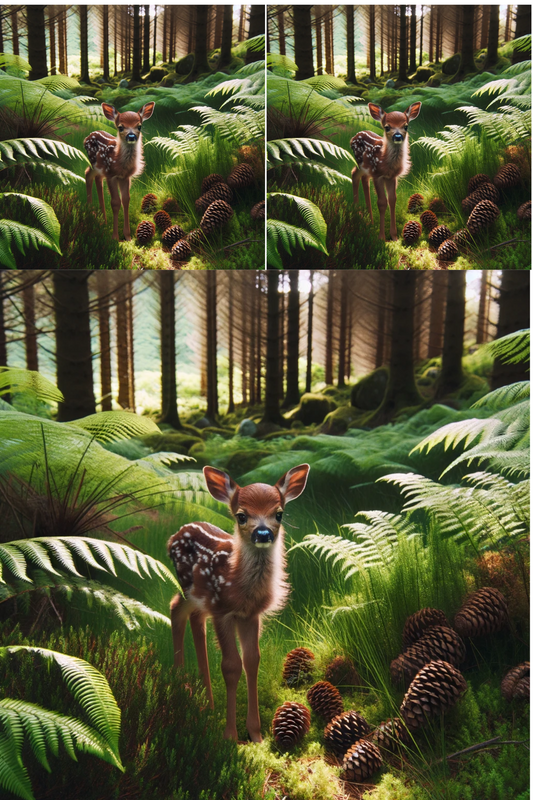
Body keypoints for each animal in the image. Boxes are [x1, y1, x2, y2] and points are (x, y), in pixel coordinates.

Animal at [84, 102, 155, 241]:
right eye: (121, 127)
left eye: (139, 126)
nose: (131, 136)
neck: (119, 162)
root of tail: (86, 137)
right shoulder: (111, 174)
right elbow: (115, 202)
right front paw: (115, 237)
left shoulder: (124, 177)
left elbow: (126, 200)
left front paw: (128, 236)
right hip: (94, 163)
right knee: (87, 173)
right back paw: (91, 215)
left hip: (100, 169)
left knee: (96, 178)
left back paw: (103, 221)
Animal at [167, 463, 310, 743]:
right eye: (241, 516)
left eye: (279, 514)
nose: (262, 533)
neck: (239, 585)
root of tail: (173, 536)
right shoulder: (222, 610)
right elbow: (231, 666)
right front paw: (231, 736)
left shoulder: (250, 615)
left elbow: (252, 661)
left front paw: (256, 734)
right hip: (190, 588)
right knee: (176, 608)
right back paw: (182, 691)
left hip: (199, 597)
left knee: (191, 616)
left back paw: (207, 704)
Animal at [350, 101, 422, 241]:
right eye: (387, 127)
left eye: (406, 126)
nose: (398, 136)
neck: (386, 162)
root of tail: (353, 137)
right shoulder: (378, 174)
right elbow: (382, 202)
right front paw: (381, 237)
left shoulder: (391, 177)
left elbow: (392, 200)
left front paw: (394, 236)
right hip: (361, 163)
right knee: (354, 174)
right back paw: (358, 215)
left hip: (366, 169)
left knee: (362, 178)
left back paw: (370, 221)